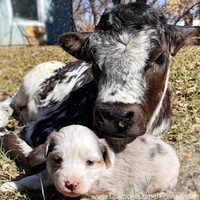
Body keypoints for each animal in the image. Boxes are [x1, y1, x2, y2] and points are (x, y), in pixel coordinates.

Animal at [0, 2, 196, 157]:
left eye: (160, 57)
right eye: (93, 59)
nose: (114, 116)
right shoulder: (42, 126)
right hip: (28, 82)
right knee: (10, 101)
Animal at [0, 125, 180, 198]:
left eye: (90, 162)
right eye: (58, 160)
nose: (71, 184)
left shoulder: (111, 192)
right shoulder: (50, 175)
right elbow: (32, 179)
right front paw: (8, 186)